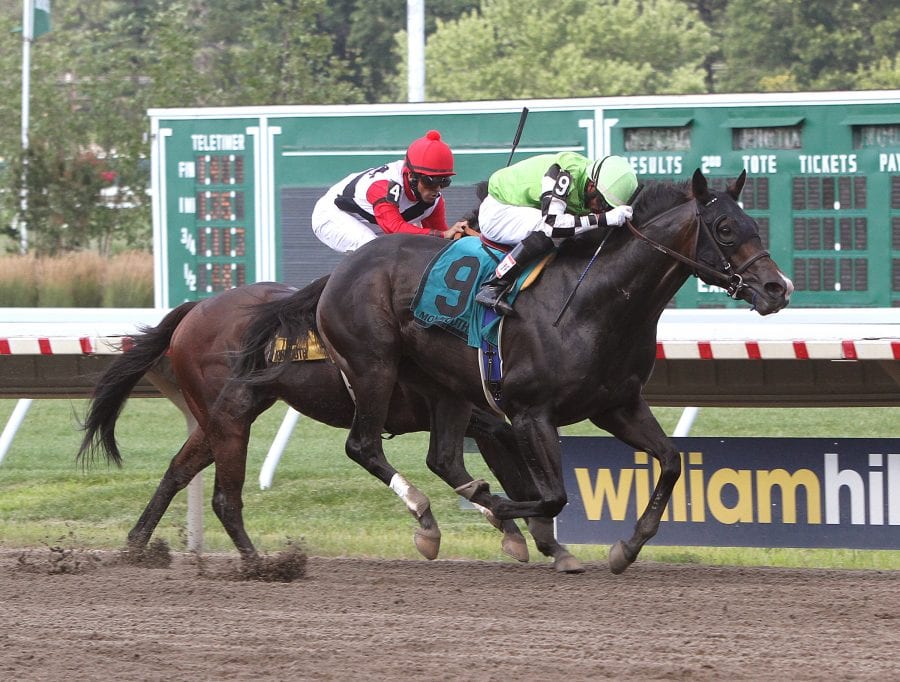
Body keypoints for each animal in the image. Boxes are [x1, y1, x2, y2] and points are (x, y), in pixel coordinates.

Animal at [79, 278, 584, 572]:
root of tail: (196, 308)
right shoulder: (469, 413)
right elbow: (501, 467)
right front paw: (525, 533)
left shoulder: (481, 415)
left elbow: (504, 469)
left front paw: (532, 538)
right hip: (231, 415)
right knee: (224, 495)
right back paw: (260, 563)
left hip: (223, 413)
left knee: (179, 470)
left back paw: (136, 547)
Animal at [234, 167, 796, 572]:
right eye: (725, 229)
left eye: (753, 225)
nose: (777, 289)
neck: (596, 301)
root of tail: (340, 271)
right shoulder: (530, 413)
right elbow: (550, 496)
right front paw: (504, 509)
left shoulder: (616, 404)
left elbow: (672, 462)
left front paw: (627, 547)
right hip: (374, 368)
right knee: (364, 446)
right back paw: (429, 516)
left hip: (446, 388)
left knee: (442, 457)